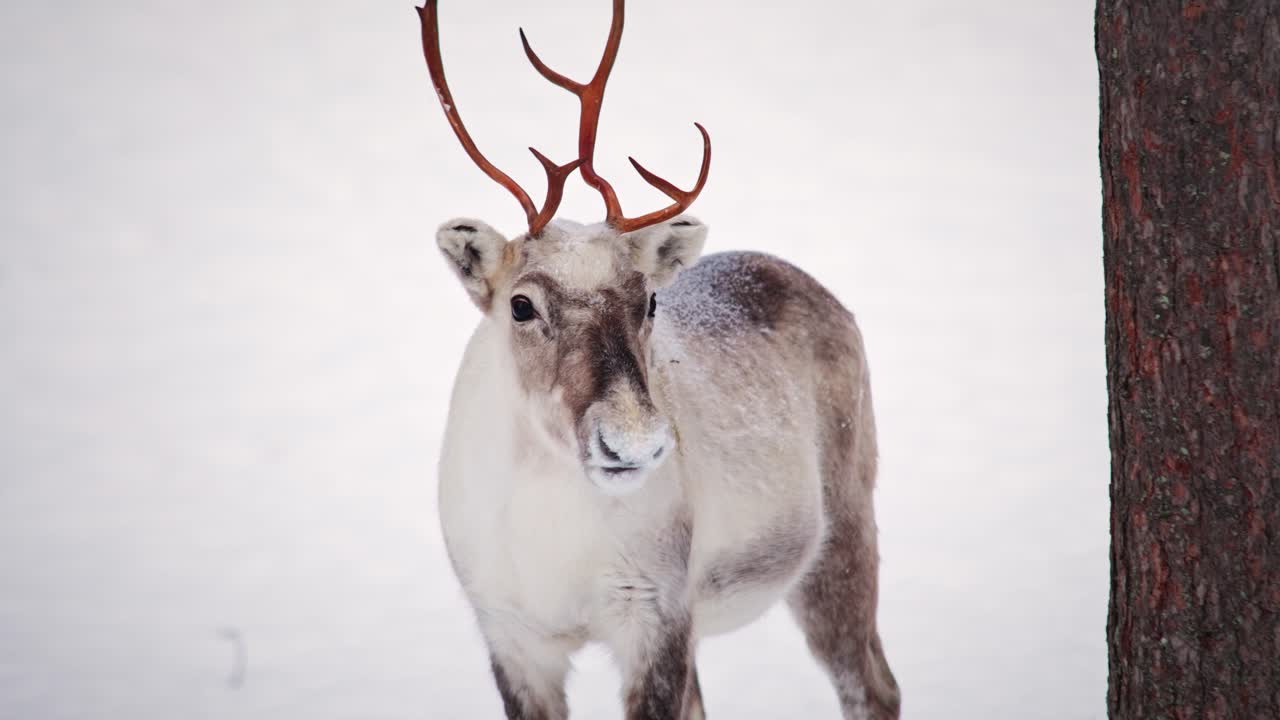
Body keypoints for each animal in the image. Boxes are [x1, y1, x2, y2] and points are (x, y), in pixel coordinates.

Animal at [418, 1, 899, 718]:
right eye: (521, 305)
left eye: (648, 300)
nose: (634, 443)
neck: (550, 534)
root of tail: (812, 287)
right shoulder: (512, 632)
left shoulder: (656, 611)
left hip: (842, 530)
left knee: (873, 685)